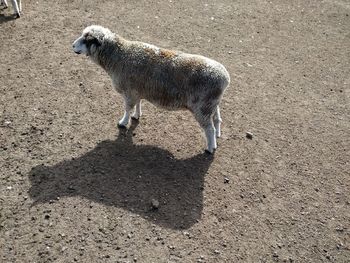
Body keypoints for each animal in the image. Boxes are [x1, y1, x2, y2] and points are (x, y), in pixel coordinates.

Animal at [72, 25, 230, 154]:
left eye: (88, 39)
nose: (72, 46)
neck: (117, 55)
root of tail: (225, 78)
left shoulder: (129, 91)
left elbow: (127, 109)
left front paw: (123, 122)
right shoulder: (136, 89)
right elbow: (137, 104)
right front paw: (136, 115)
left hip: (202, 107)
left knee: (209, 128)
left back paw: (210, 148)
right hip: (211, 103)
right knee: (217, 119)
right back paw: (217, 136)